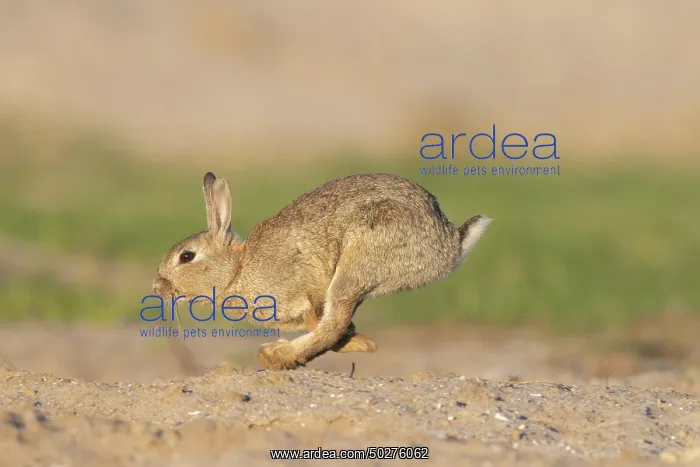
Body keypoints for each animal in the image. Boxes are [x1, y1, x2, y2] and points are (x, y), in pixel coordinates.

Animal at [152, 171, 492, 370]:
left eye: (186, 256)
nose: (157, 288)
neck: (236, 269)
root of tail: (449, 244)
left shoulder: (307, 287)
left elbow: (326, 323)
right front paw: (360, 340)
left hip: (358, 260)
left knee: (334, 323)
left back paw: (276, 355)